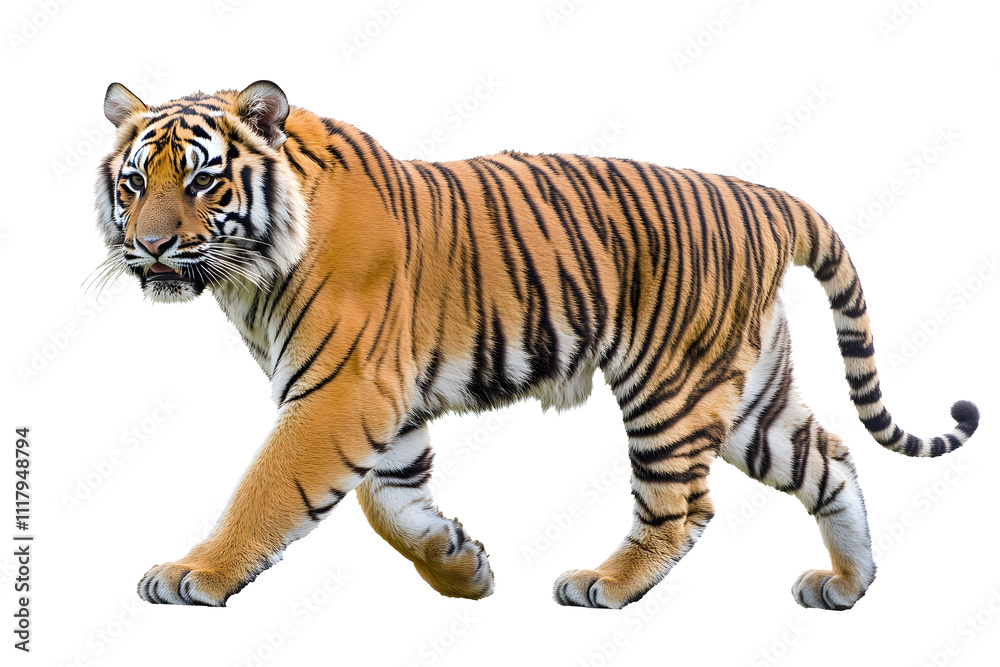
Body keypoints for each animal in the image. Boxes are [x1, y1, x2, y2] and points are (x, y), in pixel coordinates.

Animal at [94, 80, 980, 610]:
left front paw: (195, 571)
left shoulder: (342, 392)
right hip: (750, 399)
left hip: (672, 386)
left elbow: (270, 487)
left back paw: (606, 583)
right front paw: (460, 564)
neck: (248, 275)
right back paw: (849, 583)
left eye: (202, 180)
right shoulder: (382, 402)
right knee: (829, 459)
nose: (151, 246)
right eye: (135, 182)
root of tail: (764, 195)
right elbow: (392, 502)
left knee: (683, 506)